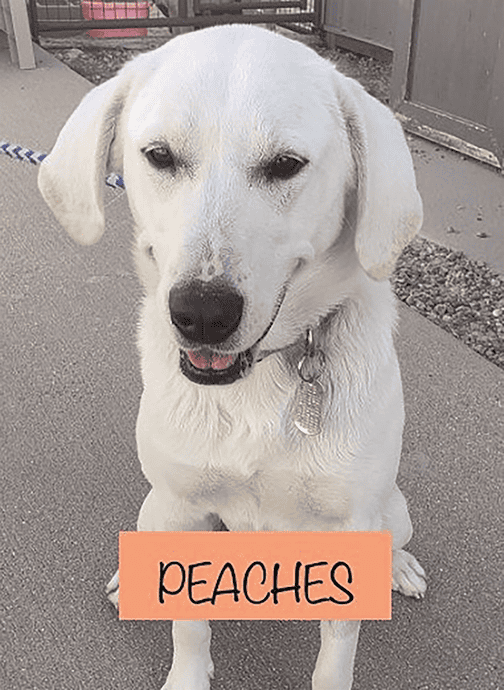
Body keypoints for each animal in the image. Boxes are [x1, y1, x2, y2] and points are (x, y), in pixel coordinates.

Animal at [38, 24, 426, 684]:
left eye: (286, 165)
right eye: (159, 155)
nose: (201, 313)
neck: (253, 385)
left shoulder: (350, 524)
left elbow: (334, 661)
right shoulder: (181, 507)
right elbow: (189, 628)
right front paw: (187, 677)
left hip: (390, 512)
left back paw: (399, 568)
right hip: (157, 508)